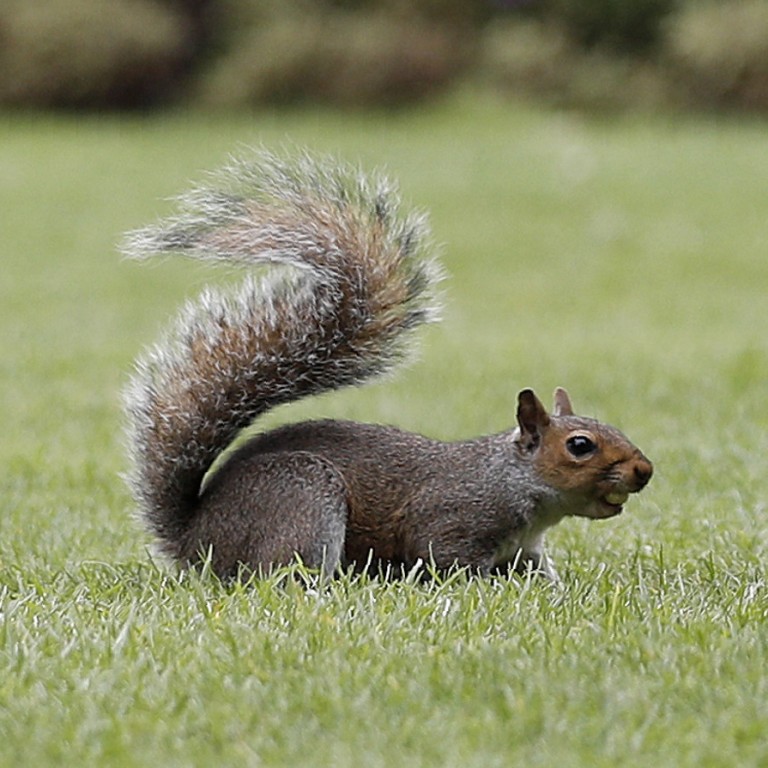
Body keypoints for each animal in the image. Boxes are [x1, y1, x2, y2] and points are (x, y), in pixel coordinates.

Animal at [121, 148, 653, 581]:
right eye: (580, 445)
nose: (645, 471)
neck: (512, 482)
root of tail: (197, 539)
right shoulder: (449, 522)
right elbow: (445, 560)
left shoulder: (526, 552)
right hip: (303, 501)